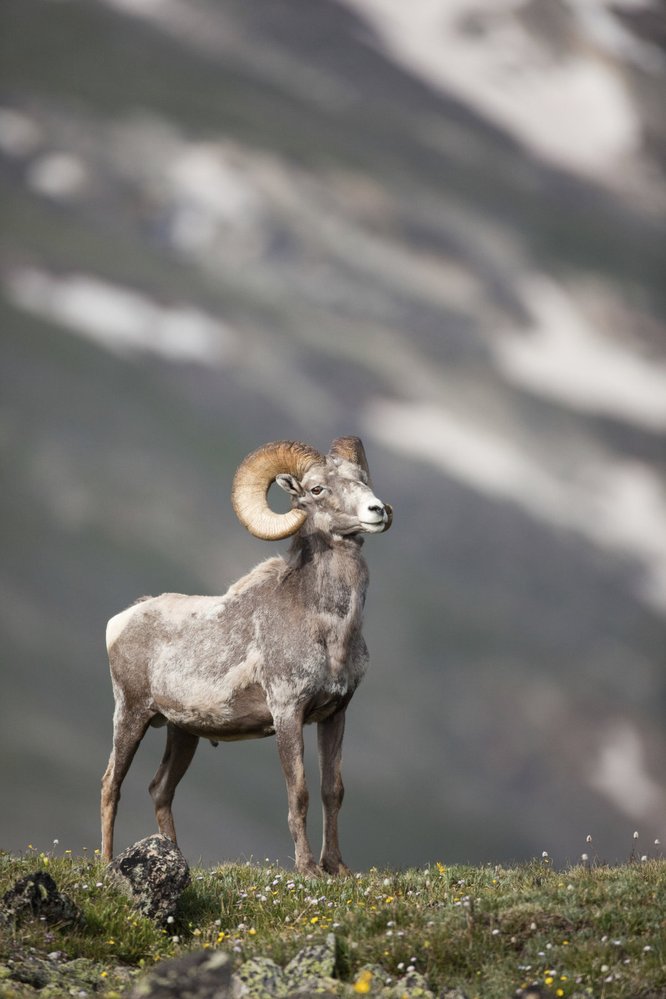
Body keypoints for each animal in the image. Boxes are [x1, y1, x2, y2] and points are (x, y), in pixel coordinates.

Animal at [99, 438, 390, 876]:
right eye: (317, 488)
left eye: (361, 479)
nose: (378, 511)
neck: (331, 631)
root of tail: (121, 620)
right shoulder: (288, 712)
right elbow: (299, 793)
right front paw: (308, 869)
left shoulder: (335, 715)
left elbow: (332, 791)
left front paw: (337, 868)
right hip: (131, 715)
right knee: (111, 785)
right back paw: (105, 862)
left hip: (182, 732)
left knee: (160, 789)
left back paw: (175, 857)